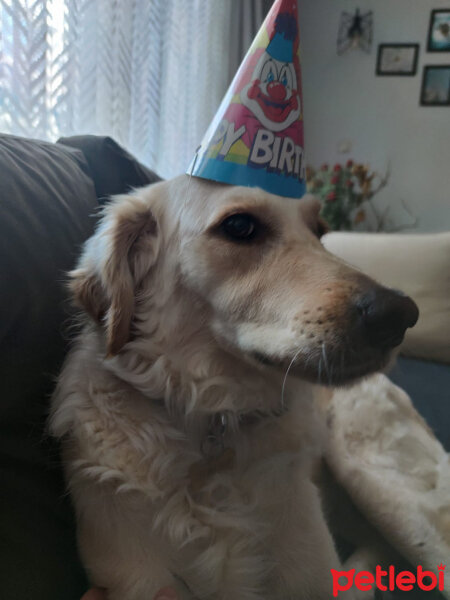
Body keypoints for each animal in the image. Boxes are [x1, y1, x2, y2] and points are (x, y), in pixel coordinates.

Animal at [51, 177, 418, 600]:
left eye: (320, 232)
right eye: (240, 226)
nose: (401, 315)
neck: (215, 415)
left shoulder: (317, 574)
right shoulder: (138, 578)